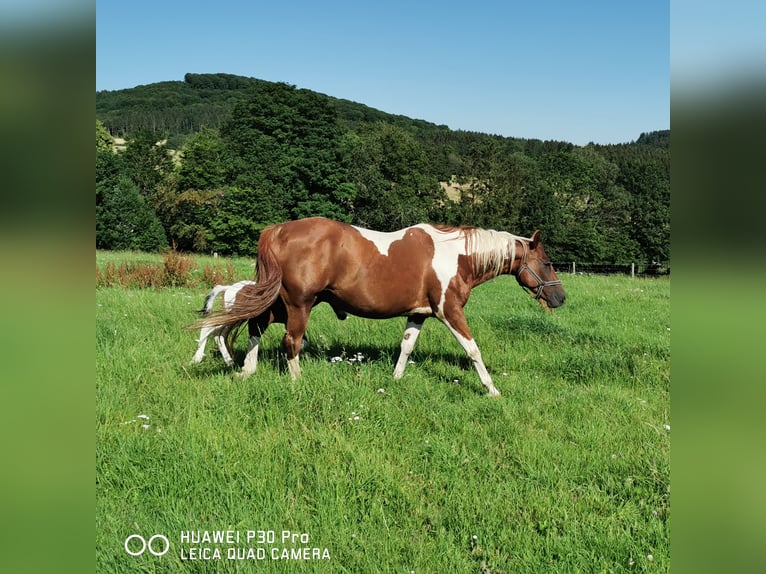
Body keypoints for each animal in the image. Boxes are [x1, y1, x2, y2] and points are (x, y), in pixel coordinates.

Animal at [197, 217, 565, 396]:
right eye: (547, 263)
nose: (560, 297)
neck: (456, 255)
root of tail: (278, 230)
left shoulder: (418, 314)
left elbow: (406, 347)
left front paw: (397, 379)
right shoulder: (450, 312)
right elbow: (473, 350)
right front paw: (491, 390)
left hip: (279, 303)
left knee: (255, 326)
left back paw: (247, 369)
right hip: (299, 304)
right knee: (291, 342)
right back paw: (296, 380)